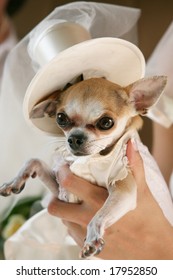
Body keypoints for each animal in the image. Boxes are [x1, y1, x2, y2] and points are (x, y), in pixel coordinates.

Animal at [0, 75, 166, 258]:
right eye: (61, 118)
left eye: (106, 122)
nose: (74, 138)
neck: (93, 159)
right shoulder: (62, 193)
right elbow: (34, 161)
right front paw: (14, 181)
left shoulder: (125, 189)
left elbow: (99, 215)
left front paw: (92, 237)